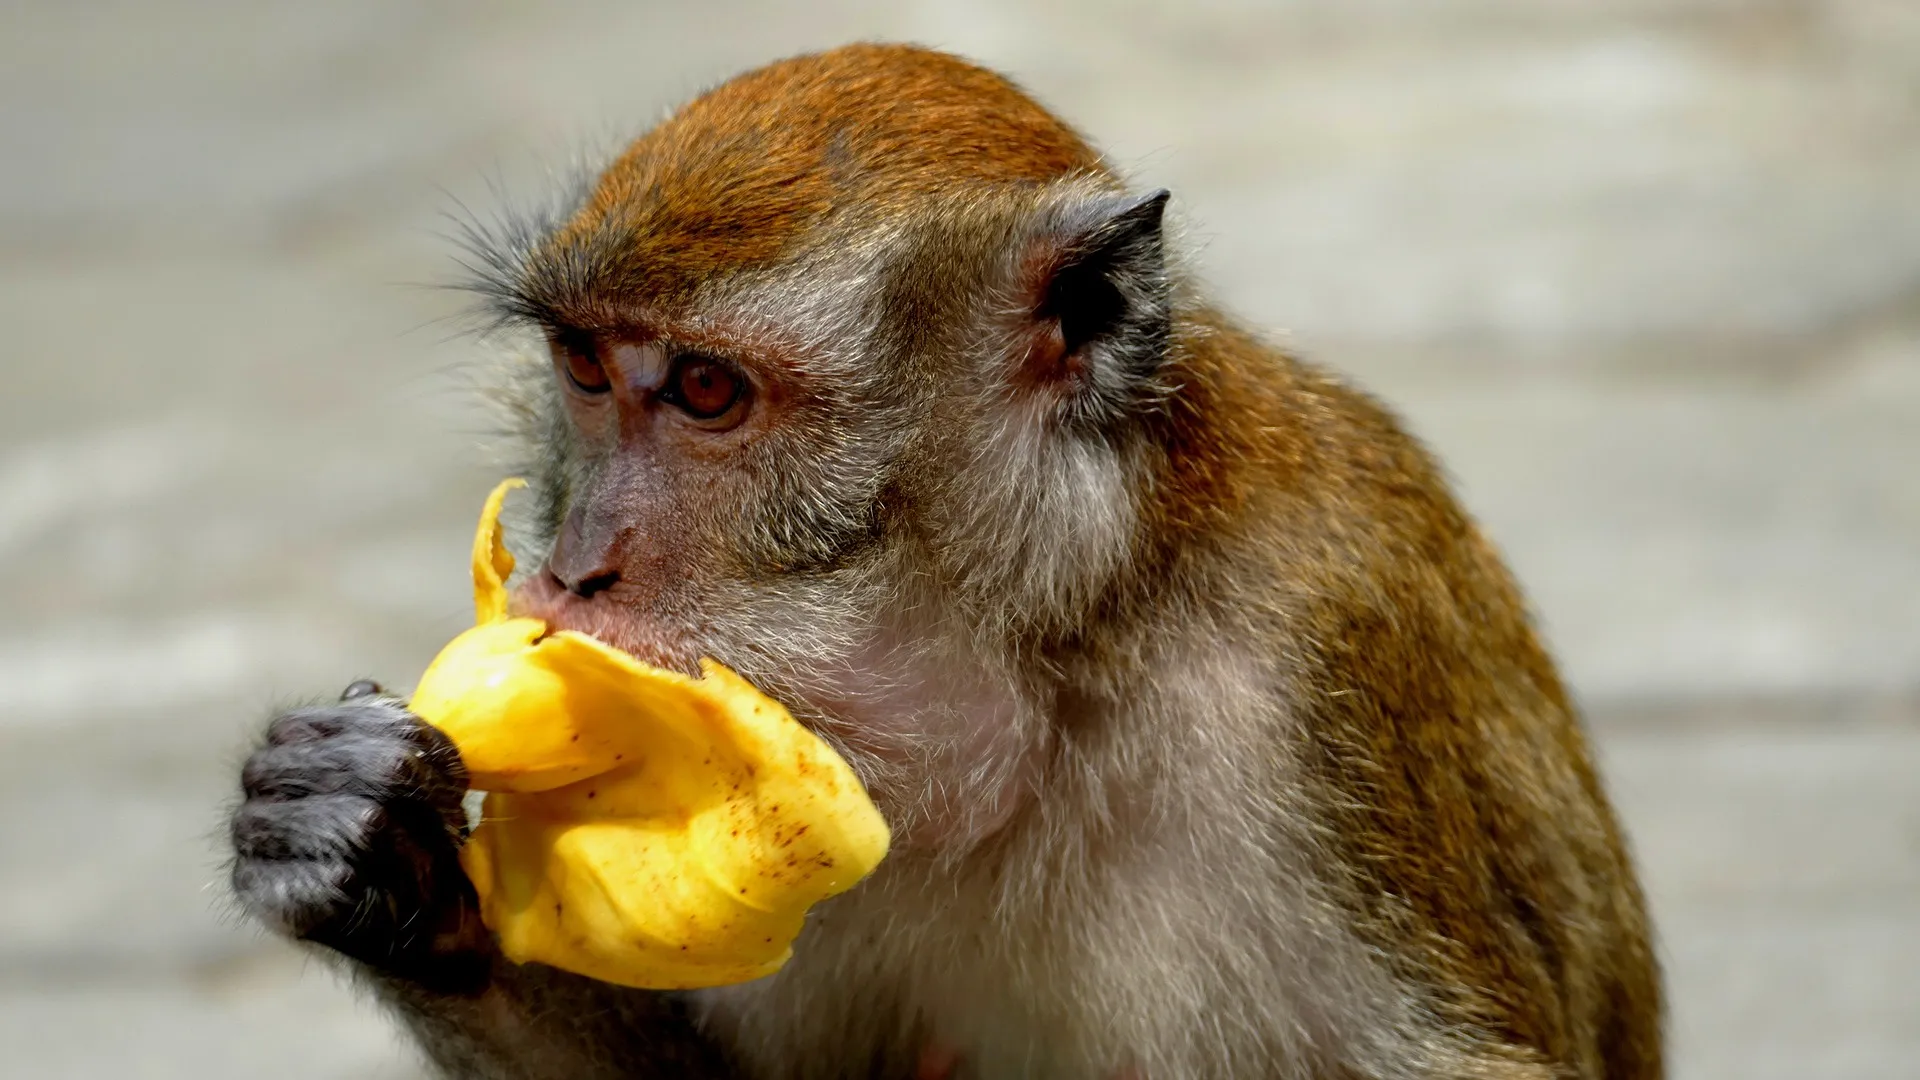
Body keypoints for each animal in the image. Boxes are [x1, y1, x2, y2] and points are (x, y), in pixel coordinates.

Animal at [227, 43, 1661, 1080]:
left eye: (704, 391)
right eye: (584, 368)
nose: (576, 569)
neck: (1054, 676)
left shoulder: (1309, 697)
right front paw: (374, 854)